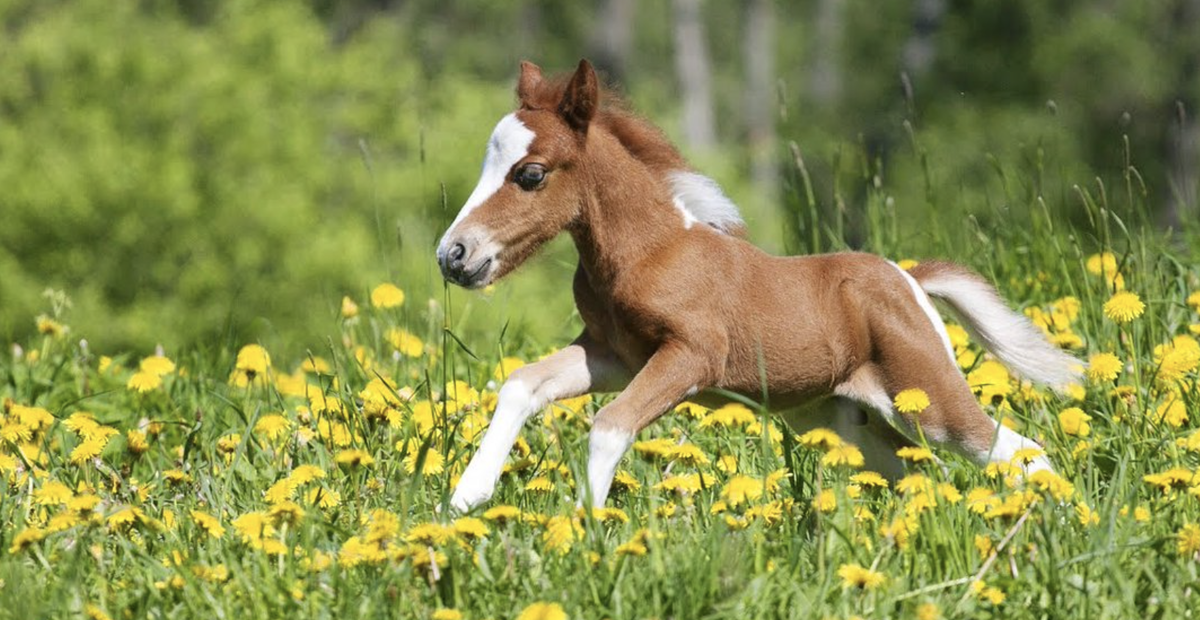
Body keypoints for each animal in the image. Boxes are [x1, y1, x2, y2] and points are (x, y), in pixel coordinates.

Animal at [434, 60, 1080, 510]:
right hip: (840, 416)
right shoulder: (611, 354)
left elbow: (609, 426)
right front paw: (466, 498)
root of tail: (908, 278)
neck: (651, 252)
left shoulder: (691, 356)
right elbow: (521, 384)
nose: (452, 255)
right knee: (919, 471)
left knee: (1016, 449)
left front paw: (586, 531)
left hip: (926, 395)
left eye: (530, 174)